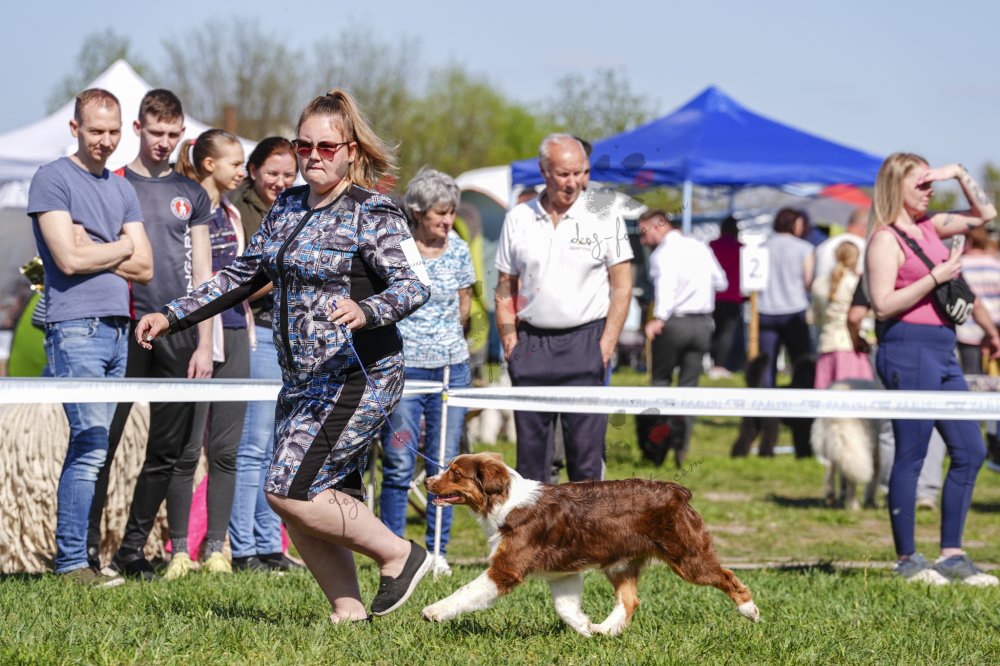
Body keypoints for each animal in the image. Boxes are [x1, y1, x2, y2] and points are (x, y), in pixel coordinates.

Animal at [421, 453, 760, 636]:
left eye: (455, 473)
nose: (426, 481)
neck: (504, 502)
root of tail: (677, 491)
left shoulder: (508, 568)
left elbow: (466, 591)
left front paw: (433, 611)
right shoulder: (564, 573)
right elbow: (565, 608)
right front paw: (585, 628)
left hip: (687, 557)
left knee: (727, 576)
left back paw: (750, 611)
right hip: (621, 561)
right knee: (629, 601)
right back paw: (605, 630)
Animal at [810, 380, 881, 511]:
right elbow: (874, 478)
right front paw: (870, 501)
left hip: (833, 441)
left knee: (831, 466)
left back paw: (831, 495)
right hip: (855, 442)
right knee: (850, 477)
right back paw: (853, 505)